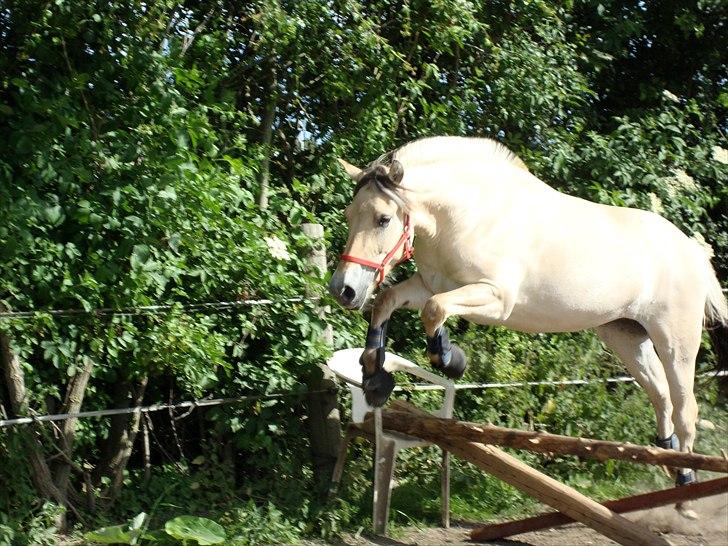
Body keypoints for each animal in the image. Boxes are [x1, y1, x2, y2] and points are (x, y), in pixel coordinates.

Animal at [328, 133, 728, 510]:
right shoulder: (430, 286)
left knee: (685, 406)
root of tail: (692, 249)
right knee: (660, 396)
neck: (466, 215)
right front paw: (375, 379)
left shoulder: (494, 298)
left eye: (383, 219)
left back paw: (686, 487)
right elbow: (387, 302)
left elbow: (435, 312)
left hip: (675, 338)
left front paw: (452, 360)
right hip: (625, 335)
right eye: (349, 216)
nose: (344, 290)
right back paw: (669, 463)